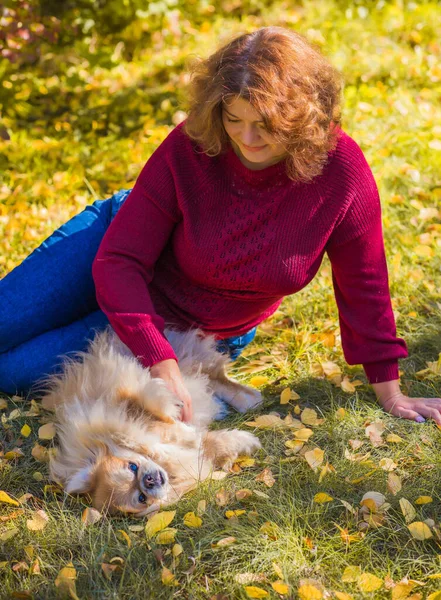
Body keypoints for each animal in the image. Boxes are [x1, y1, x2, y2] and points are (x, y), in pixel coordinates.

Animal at [41, 328, 262, 516]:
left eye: (132, 467)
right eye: (141, 498)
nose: (148, 481)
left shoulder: (123, 400)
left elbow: (158, 417)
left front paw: (182, 429)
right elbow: (215, 442)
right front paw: (245, 441)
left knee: (213, 377)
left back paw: (247, 398)